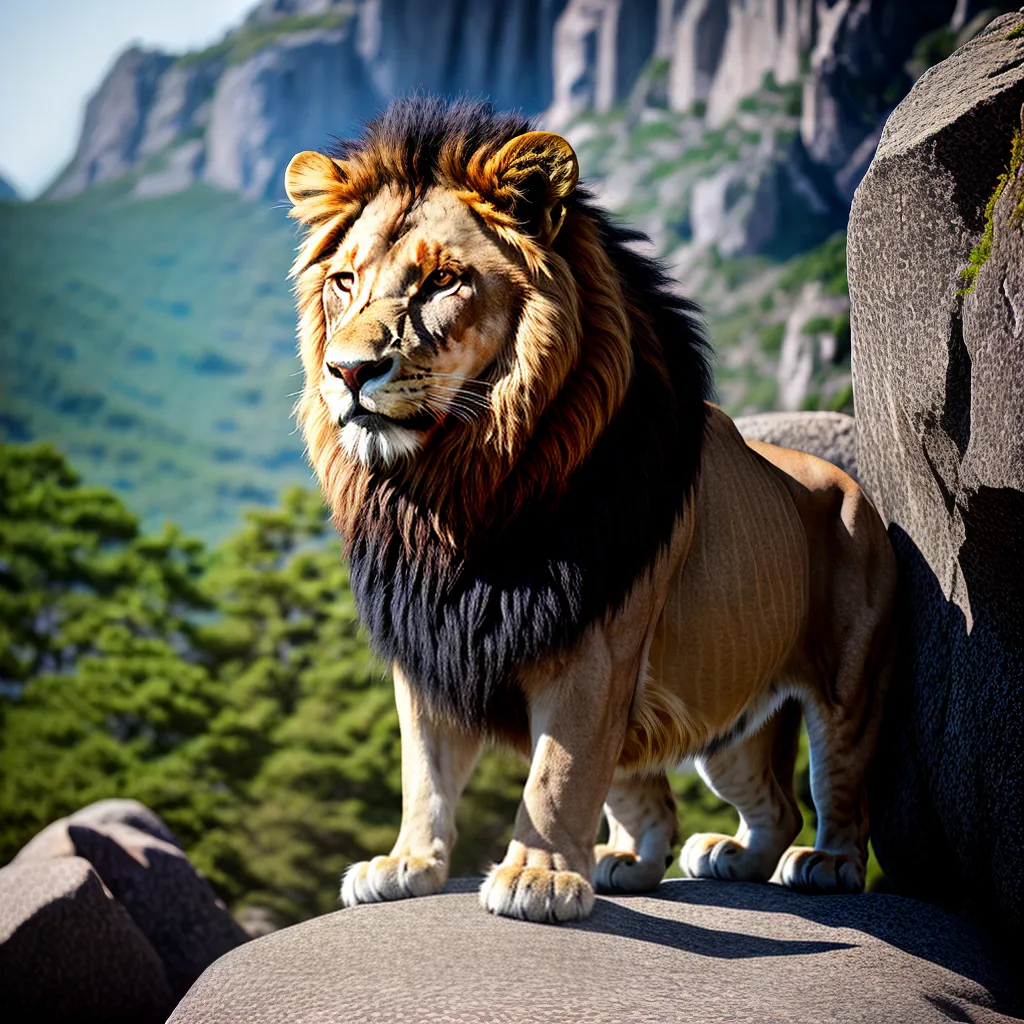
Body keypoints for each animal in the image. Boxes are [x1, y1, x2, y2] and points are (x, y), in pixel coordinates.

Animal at [283, 97, 897, 924]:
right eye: (344, 281)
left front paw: (536, 877)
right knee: (743, 804)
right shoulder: (430, 640)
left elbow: (559, 771)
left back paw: (825, 863)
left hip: (846, 682)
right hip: (727, 724)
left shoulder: (596, 644)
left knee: (836, 790)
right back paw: (667, 860)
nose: (347, 371)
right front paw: (408, 862)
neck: (456, 490)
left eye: (443, 281)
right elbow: (426, 769)